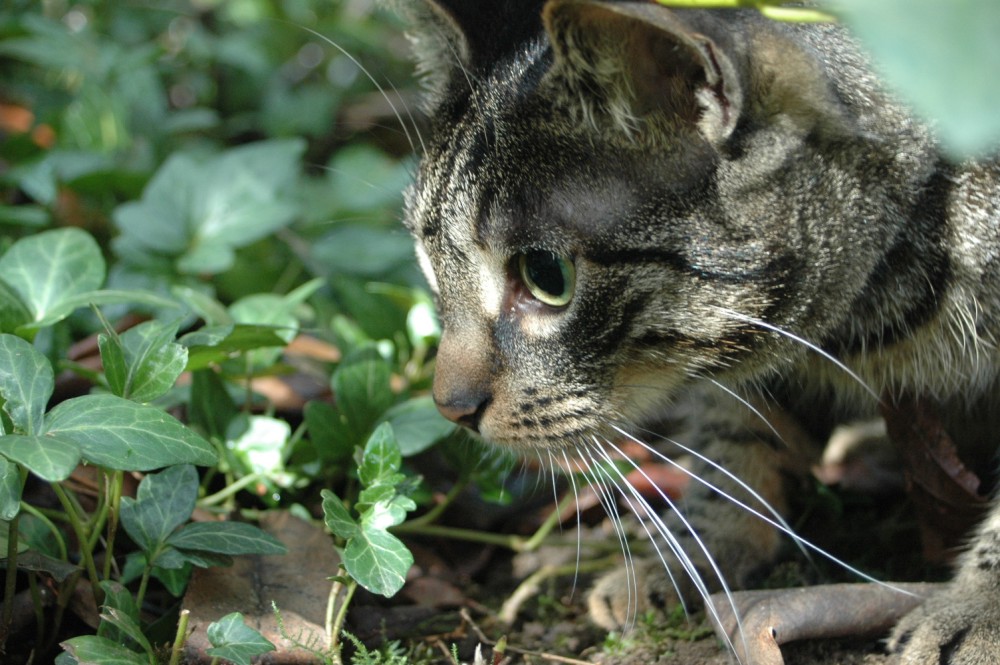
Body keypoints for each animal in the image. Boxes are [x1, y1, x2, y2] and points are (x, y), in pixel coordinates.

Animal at [390, 1, 1000, 660]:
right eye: (428, 261)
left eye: (546, 274)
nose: (449, 407)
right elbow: (736, 436)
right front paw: (700, 548)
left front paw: (980, 609)